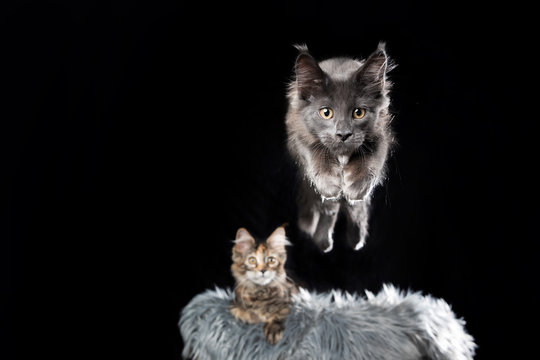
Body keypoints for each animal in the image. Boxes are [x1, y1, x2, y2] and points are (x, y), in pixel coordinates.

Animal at [284, 43, 394, 253]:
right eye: (326, 113)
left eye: (358, 113)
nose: (343, 134)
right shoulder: (297, 133)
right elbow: (315, 151)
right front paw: (329, 182)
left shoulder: (382, 133)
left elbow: (372, 158)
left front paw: (356, 186)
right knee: (328, 209)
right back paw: (322, 239)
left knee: (354, 210)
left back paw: (355, 237)